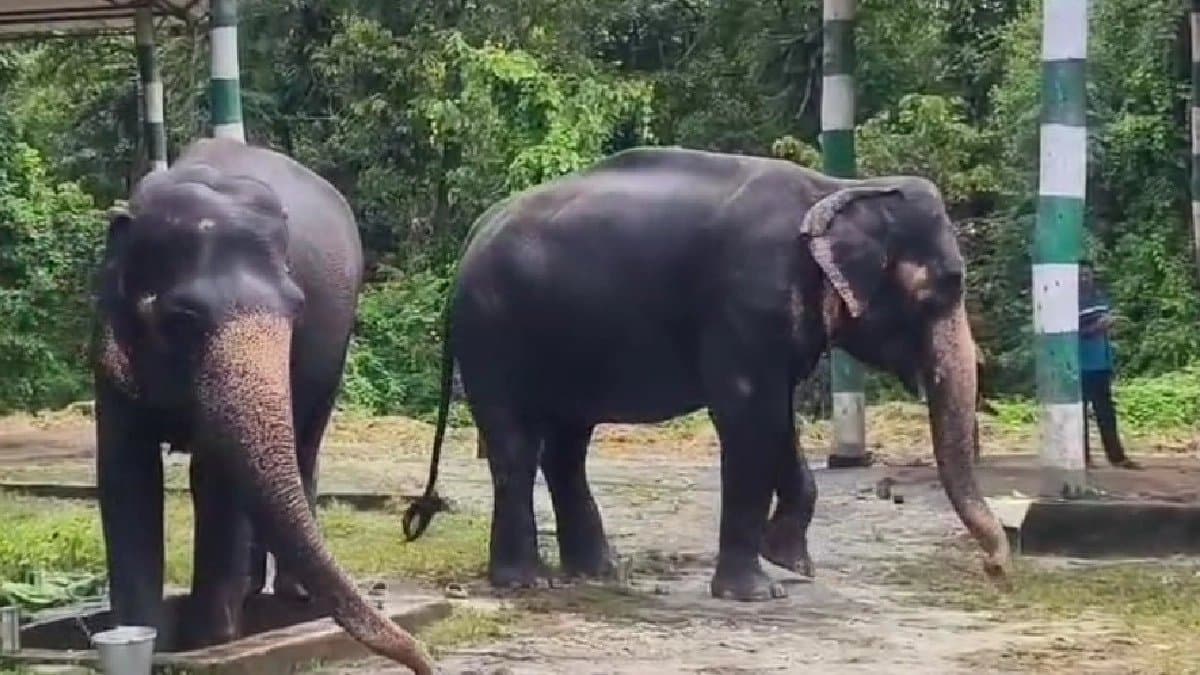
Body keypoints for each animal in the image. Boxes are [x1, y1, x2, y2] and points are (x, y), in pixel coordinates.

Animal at [92, 138, 432, 674]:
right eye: (183, 317)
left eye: (297, 307)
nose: (425, 662)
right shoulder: (109, 344)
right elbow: (127, 475)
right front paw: (145, 634)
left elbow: (217, 477)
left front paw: (211, 639)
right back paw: (253, 590)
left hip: (334, 348)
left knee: (305, 442)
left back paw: (290, 594)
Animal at [403, 146, 1011, 601]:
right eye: (941, 289)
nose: (996, 570)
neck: (840, 187)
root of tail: (475, 233)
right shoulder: (745, 302)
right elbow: (748, 417)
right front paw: (758, 592)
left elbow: (775, 417)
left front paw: (791, 561)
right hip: (492, 332)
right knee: (514, 445)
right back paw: (527, 583)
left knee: (566, 445)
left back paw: (597, 571)